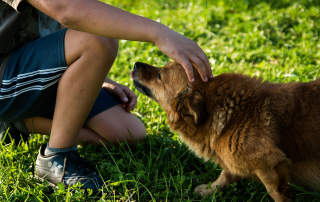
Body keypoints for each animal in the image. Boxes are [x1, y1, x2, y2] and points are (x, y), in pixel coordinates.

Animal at [131, 61, 320, 202]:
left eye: (160, 76)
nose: (136, 64)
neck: (231, 113)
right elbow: (225, 175)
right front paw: (210, 190)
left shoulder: (270, 164)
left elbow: (276, 195)